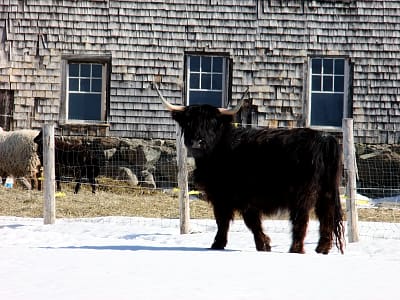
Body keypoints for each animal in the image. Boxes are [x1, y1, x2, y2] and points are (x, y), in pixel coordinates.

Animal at [158, 88, 346, 253]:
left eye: (212, 123)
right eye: (189, 122)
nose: (197, 142)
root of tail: (323, 138)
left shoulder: (230, 196)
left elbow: (235, 221)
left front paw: (222, 245)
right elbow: (236, 221)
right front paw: (261, 245)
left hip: (303, 193)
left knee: (301, 219)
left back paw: (296, 249)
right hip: (327, 191)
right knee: (326, 217)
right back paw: (321, 249)